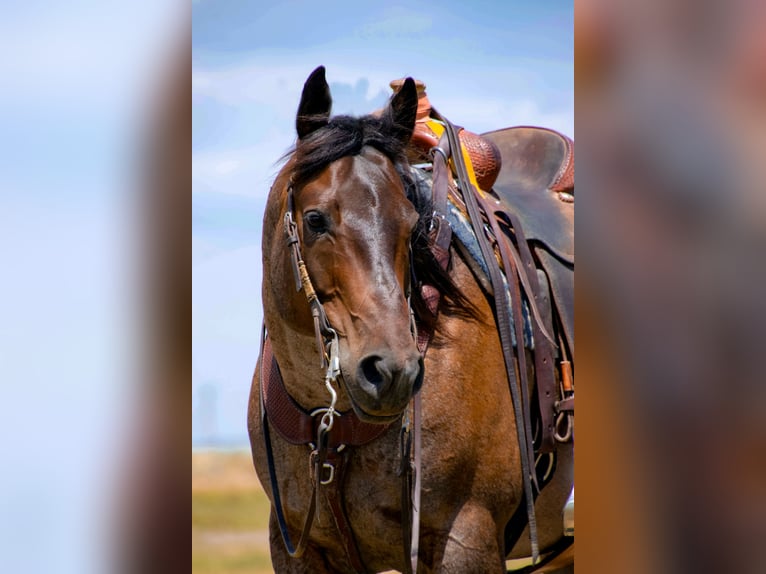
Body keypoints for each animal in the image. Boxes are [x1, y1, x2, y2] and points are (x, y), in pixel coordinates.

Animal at [248, 66, 574, 573]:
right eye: (315, 219)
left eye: (412, 223)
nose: (391, 371)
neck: (334, 427)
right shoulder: (295, 549)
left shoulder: (467, 538)